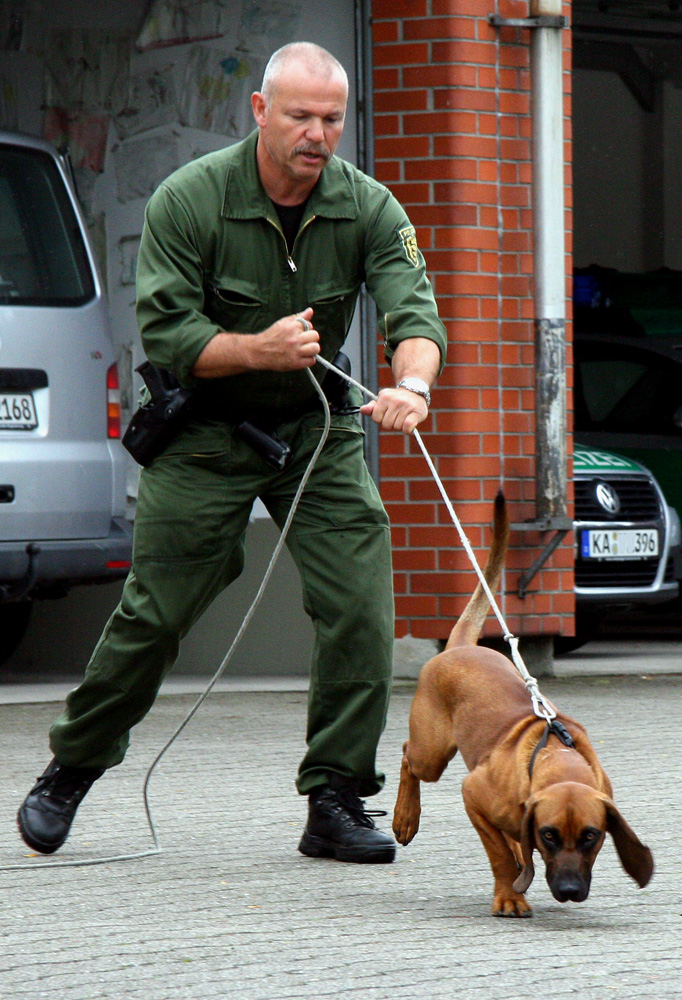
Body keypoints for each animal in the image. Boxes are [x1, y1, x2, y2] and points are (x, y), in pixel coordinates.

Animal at [390, 492, 652, 916]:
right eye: (549, 835)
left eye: (591, 836)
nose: (569, 890)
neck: (555, 758)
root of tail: (460, 646)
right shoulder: (473, 794)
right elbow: (498, 852)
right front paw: (509, 896)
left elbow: (513, 845)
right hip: (431, 753)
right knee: (407, 756)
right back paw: (405, 817)